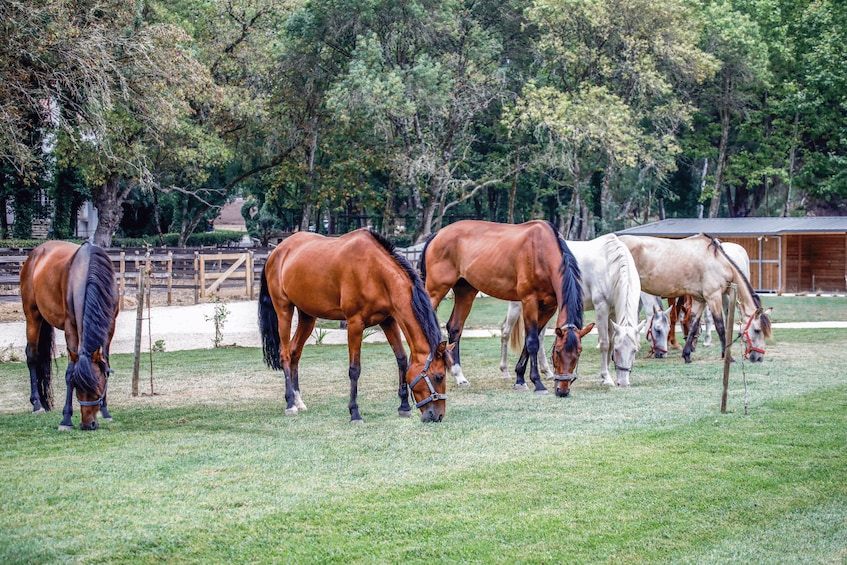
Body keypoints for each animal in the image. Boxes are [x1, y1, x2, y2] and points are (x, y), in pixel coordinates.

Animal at [20, 240, 120, 430]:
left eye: (98, 386)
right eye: (78, 387)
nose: (88, 424)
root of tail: (36, 252)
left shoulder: (110, 326)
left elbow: (106, 364)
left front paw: (105, 411)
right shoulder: (70, 327)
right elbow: (69, 371)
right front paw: (66, 419)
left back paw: (44, 403)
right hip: (32, 316)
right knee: (32, 356)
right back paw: (37, 404)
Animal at [258, 227, 454, 420]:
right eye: (438, 376)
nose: (438, 415)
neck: (375, 272)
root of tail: (276, 251)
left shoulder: (389, 321)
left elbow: (401, 359)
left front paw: (404, 406)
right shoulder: (354, 324)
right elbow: (355, 369)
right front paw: (354, 412)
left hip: (307, 317)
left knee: (294, 352)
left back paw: (299, 400)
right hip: (284, 310)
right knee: (285, 354)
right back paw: (290, 404)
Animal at [420, 220, 592, 396]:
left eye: (579, 352)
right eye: (557, 351)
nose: (562, 390)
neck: (541, 251)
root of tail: (438, 234)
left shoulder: (549, 307)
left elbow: (531, 340)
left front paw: (520, 379)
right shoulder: (529, 300)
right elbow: (532, 341)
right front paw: (537, 383)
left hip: (465, 292)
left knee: (455, 328)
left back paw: (459, 376)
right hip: (434, 291)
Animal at [496, 234, 644, 388]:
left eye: (635, 350)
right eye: (617, 350)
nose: (624, 383)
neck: (610, 265)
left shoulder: (613, 312)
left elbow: (610, 342)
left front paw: (606, 375)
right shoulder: (601, 307)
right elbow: (605, 343)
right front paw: (606, 377)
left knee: (539, 337)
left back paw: (547, 372)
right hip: (518, 305)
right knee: (506, 332)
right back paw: (505, 371)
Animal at [620, 236, 772, 364]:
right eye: (757, 330)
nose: (759, 357)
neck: (719, 262)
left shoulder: (700, 300)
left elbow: (693, 325)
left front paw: (687, 354)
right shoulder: (713, 297)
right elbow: (720, 327)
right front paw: (728, 357)